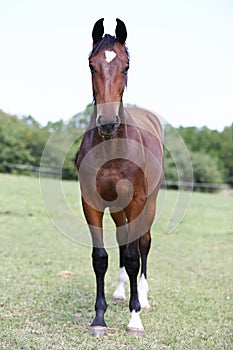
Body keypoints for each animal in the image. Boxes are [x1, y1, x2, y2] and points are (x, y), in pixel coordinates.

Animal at [75, 18, 163, 336]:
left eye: (126, 66)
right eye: (91, 65)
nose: (108, 123)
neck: (113, 147)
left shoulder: (137, 201)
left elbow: (134, 256)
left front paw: (134, 318)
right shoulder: (91, 202)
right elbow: (101, 257)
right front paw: (99, 318)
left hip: (148, 204)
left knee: (143, 243)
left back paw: (143, 298)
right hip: (117, 208)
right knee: (124, 241)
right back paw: (119, 292)